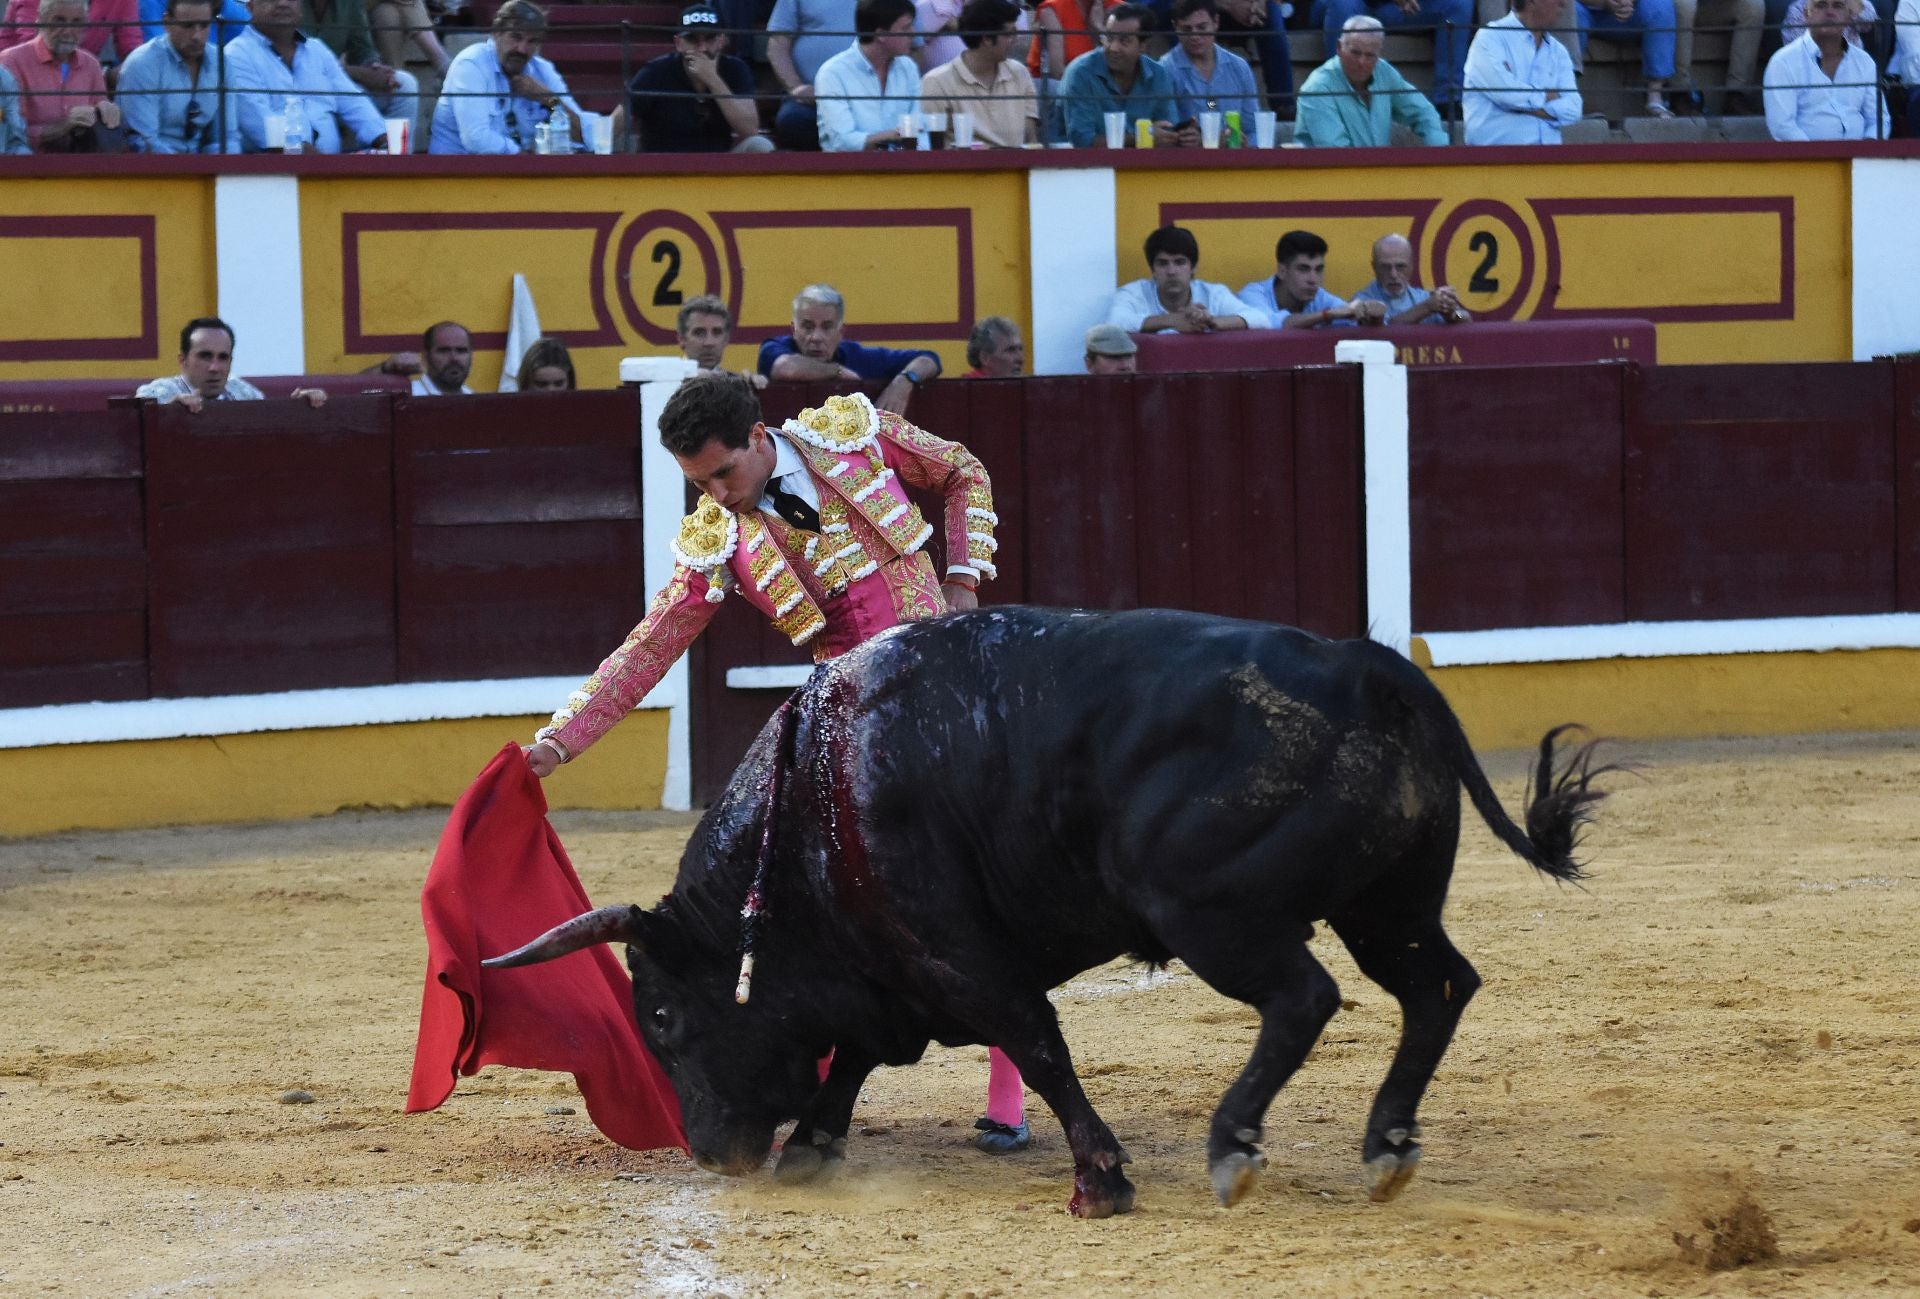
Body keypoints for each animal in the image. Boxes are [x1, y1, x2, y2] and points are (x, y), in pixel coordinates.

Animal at [483, 606, 1605, 1212]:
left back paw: (1234, 1146)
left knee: (1304, 999)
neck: (818, 795)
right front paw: (812, 1146)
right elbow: (856, 1056)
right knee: (1438, 986)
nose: (711, 1151)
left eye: (664, 1015)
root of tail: (1366, 664)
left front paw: (1101, 1178)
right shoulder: (894, 969)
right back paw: (1385, 1147)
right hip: (1387, 906)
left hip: (1210, 913)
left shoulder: (955, 956)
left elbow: (1036, 1043)